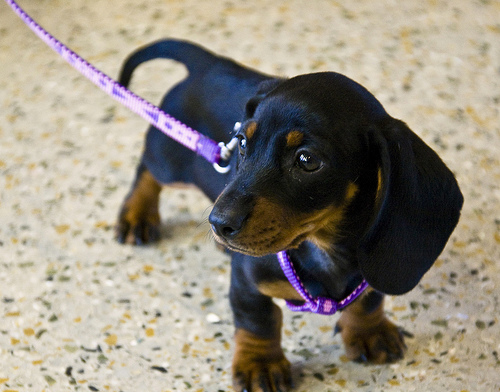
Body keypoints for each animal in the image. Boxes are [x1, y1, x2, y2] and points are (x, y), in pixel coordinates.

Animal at [115, 39, 462, 392]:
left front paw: (369, 330)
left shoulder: (369, 263)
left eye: (307, 160)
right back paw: (136, 215)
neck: (323, 248)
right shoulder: (247, 280)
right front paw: (260, 365)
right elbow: (258, 320)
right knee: (147, 169)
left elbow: (368, 297)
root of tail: (208, 63)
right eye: (242, 142)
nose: (218, 223)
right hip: (170, 159)